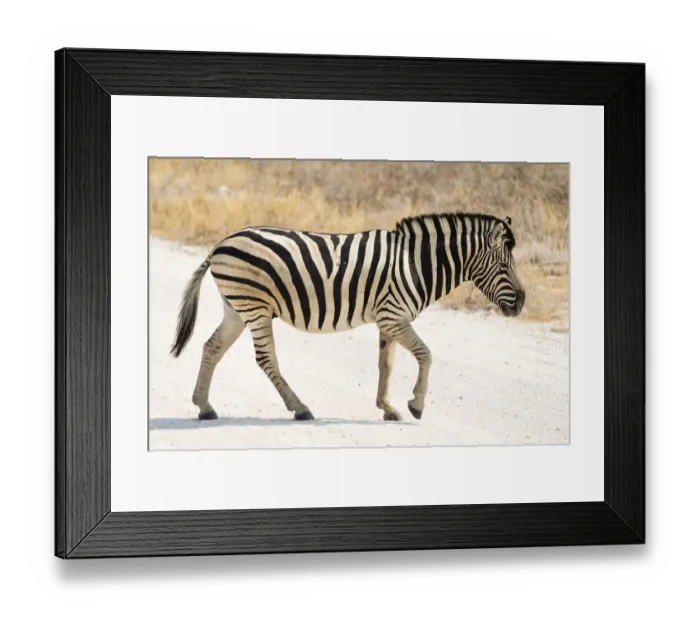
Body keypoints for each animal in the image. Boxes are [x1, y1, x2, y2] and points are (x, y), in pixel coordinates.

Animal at [170, 212, 526, 423]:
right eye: (504, 266)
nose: (522, 303)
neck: (415, 264)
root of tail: (220, 244)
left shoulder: (387, 319)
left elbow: (387, 365)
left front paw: (388, 408)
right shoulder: (394, 316)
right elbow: (426, 354)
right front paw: (416, 405)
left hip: (237, 307)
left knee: (212, 347)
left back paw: (204, 406)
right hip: (254, 306)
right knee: (265, 359)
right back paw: (300, 408)